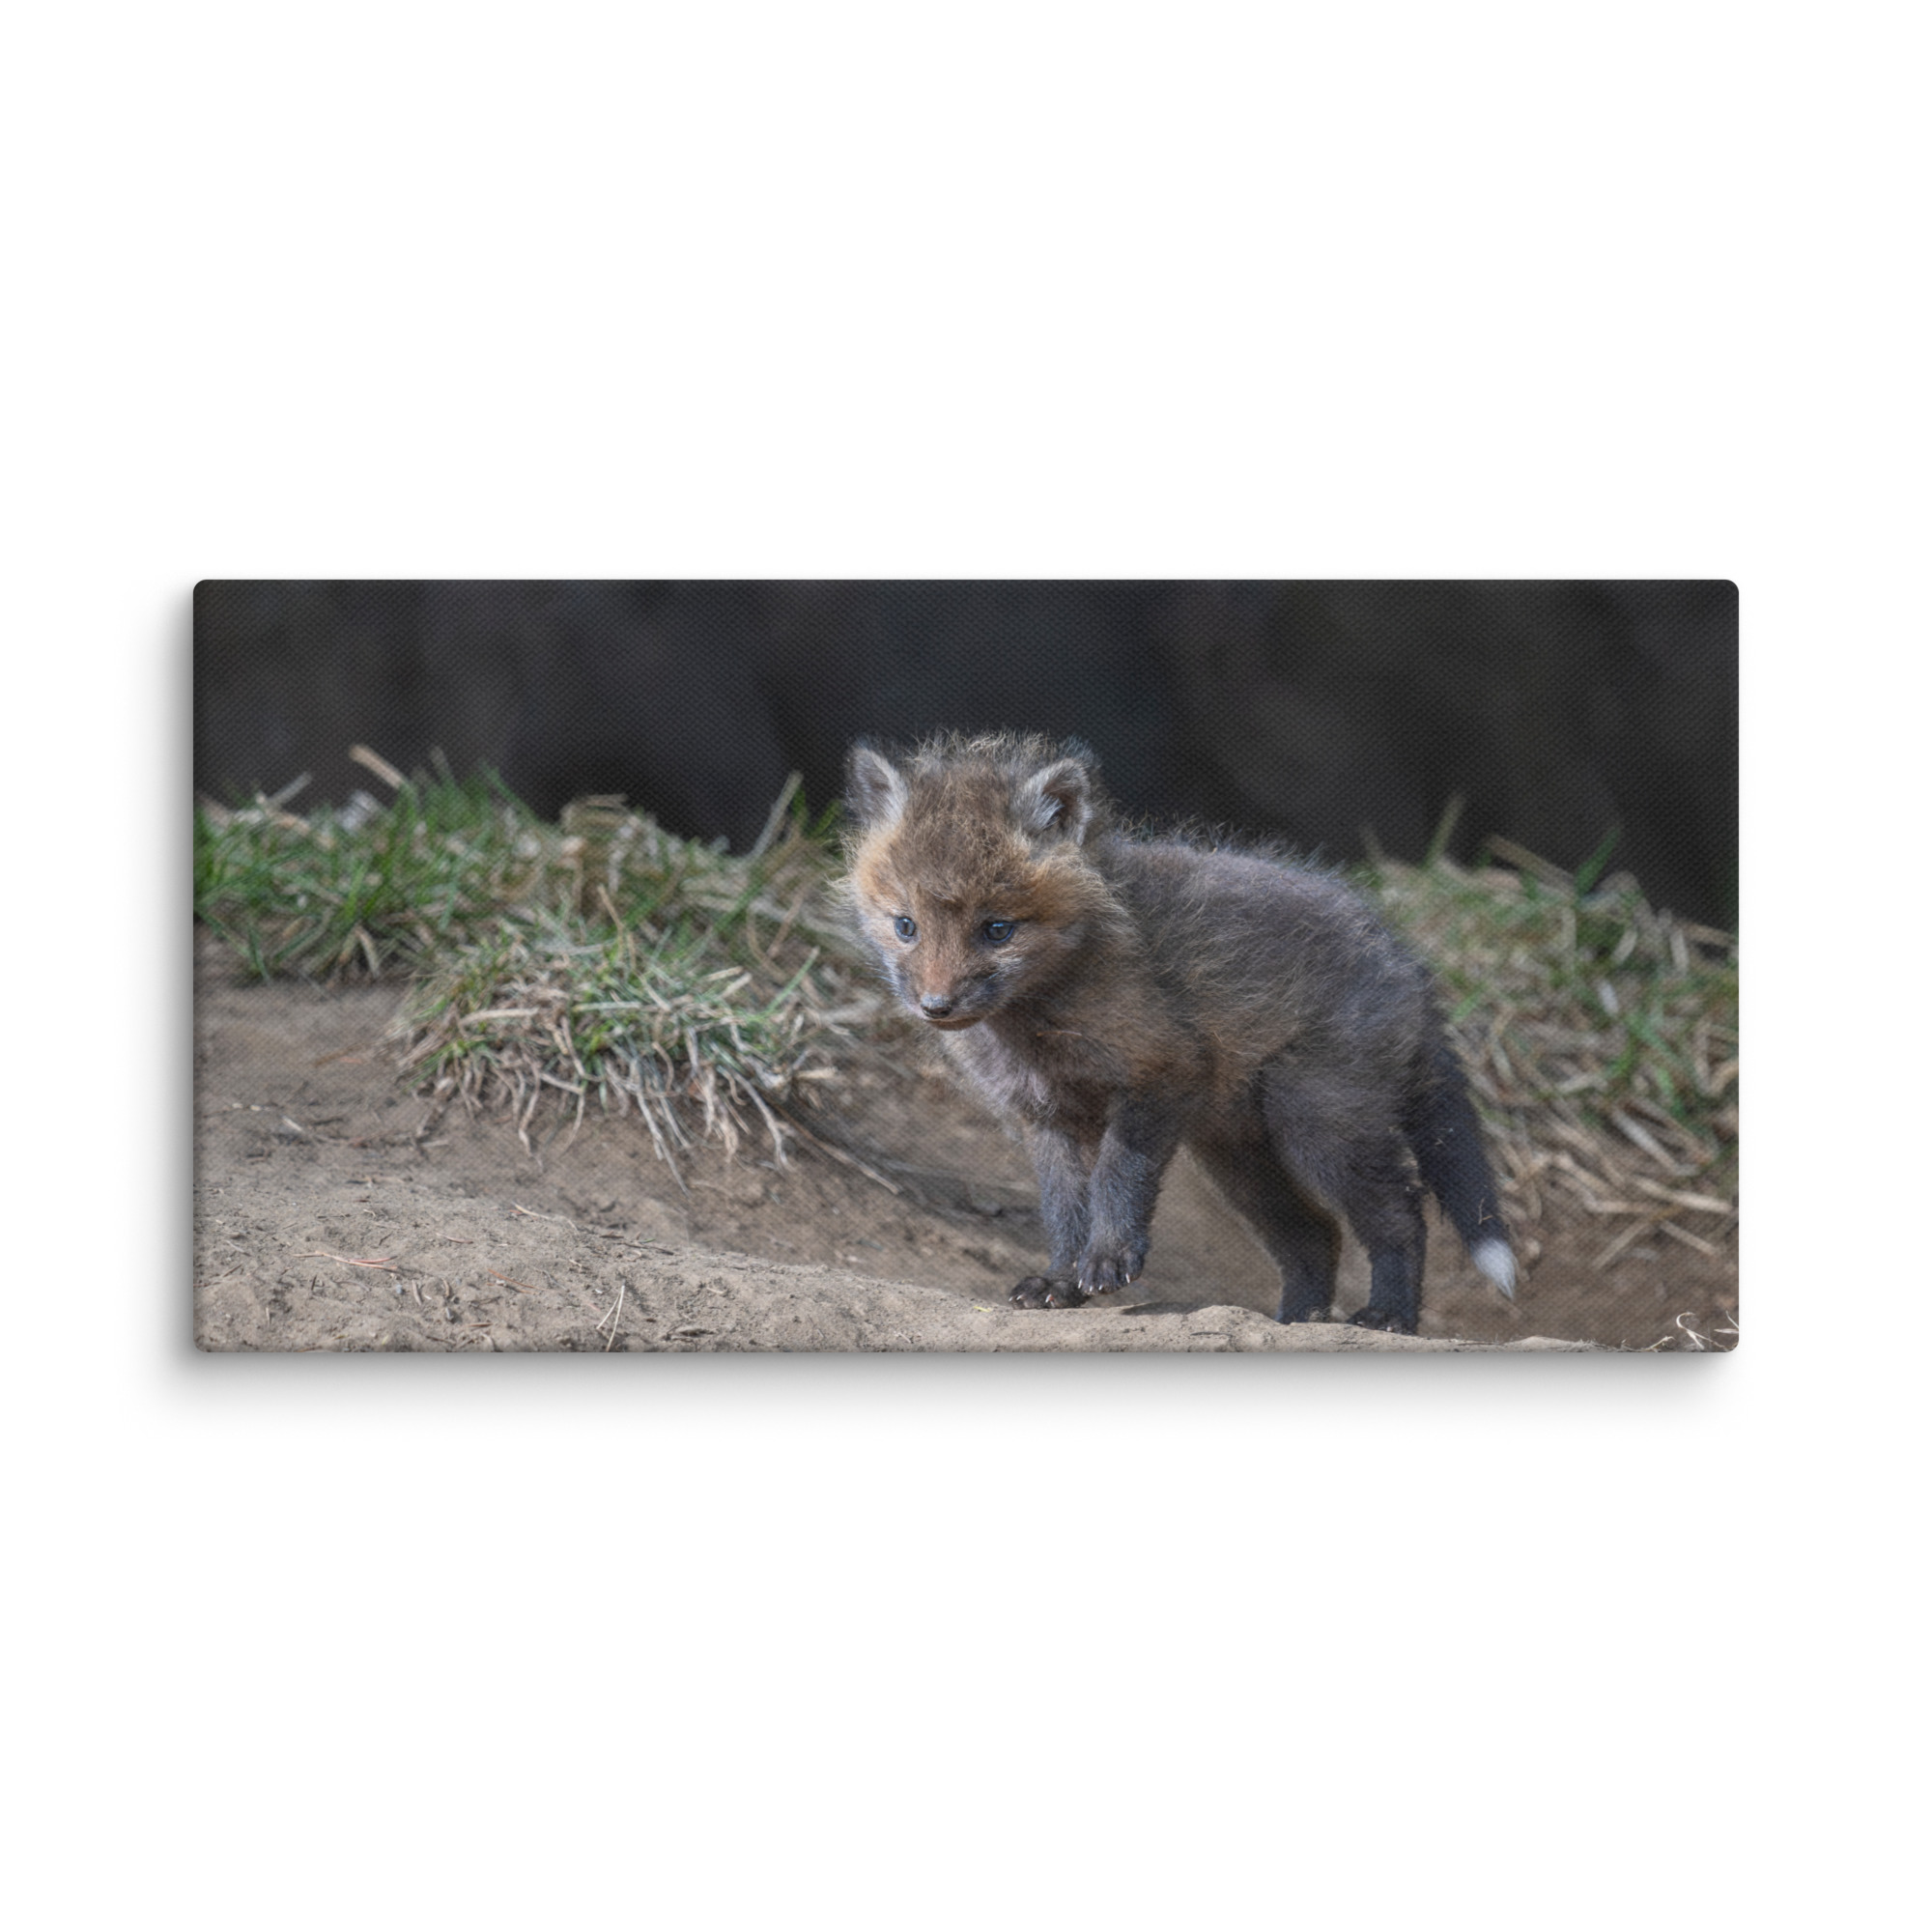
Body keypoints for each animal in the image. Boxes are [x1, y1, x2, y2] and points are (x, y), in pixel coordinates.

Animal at [841, 731, 1517, 1334]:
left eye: (997, 929)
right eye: (906, 926)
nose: (936, 1006)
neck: (1038, 1026)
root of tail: (1407, 963)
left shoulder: (1160, 1070)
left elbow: (1118, 1177)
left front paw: (1109, 1259)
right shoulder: (1047, 1116)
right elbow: (1064, 1209)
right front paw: (1060, 1281)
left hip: (1319, 1123)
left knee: (1401, 1214)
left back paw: (1388, 1316)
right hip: (1238, 1155)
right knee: (1315, 1234)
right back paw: (1297, 1321)